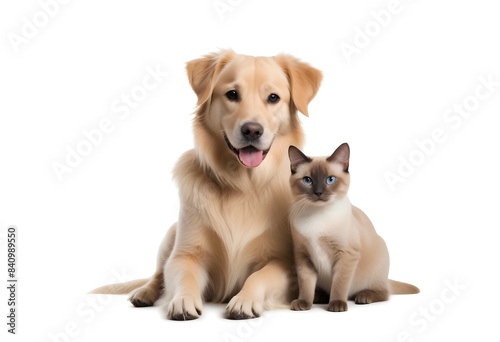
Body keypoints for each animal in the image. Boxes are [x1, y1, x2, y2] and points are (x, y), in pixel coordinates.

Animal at [91, 49, 322, 320]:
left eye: (273, 98)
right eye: (232, 94)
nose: (252, 130)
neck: (243, 184)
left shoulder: (282, 262)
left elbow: (259, 276)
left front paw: (244, 300)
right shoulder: (185, 254)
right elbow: (184, 274)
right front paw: (183, 300)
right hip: (171, 234)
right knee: (157, 275)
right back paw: (144, 293)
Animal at [290, 143, 418, 312]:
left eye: (330, 180)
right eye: (307, 180)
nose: (318, 192)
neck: (317, 215)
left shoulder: (347, 255)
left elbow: (339, 284)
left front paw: (337, 305)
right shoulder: (303, 256)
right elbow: (306, 285)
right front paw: (304, 303)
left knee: (384, 292)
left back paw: (363, 297)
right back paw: (319, 297)